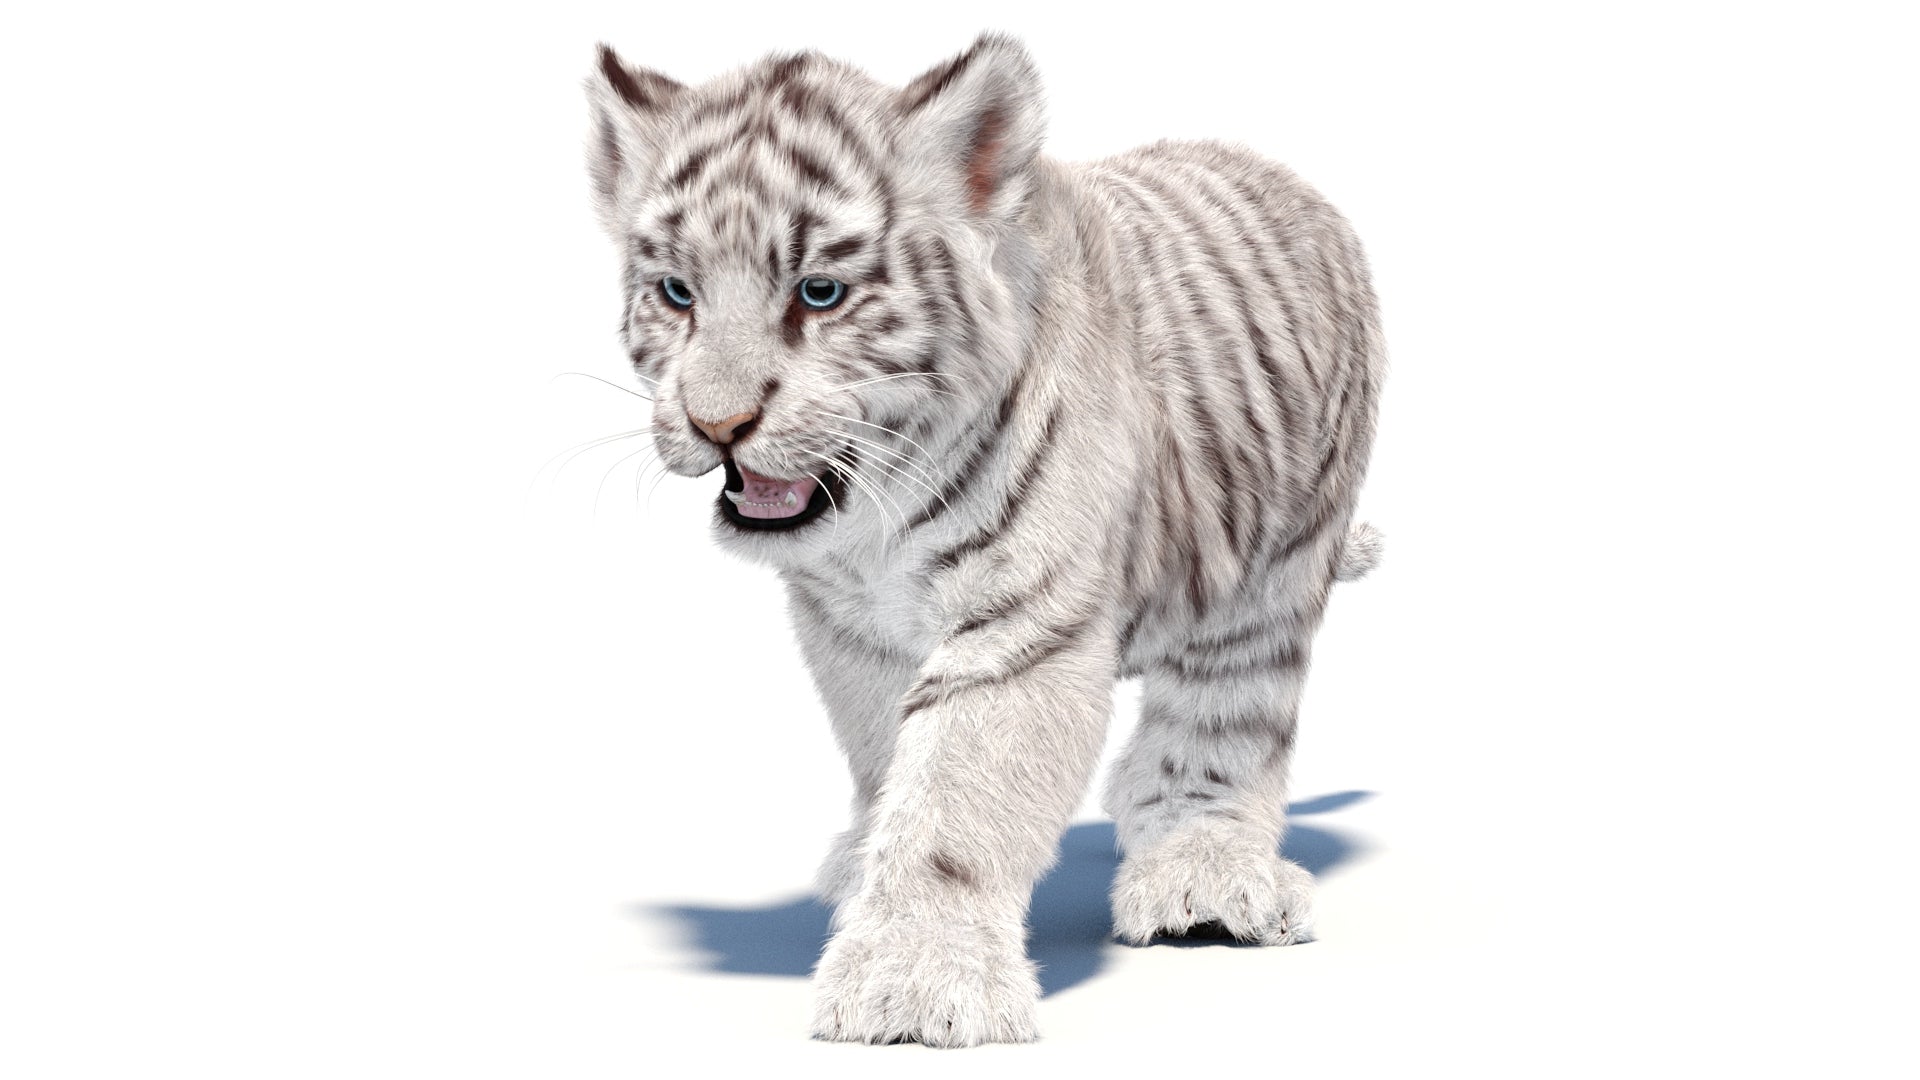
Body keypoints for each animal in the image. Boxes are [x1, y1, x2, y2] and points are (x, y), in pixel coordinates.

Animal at [584, 32, 1386, 1047]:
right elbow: (886, 759)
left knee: (1225, 718)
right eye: (677, 293)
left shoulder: (1021, 628)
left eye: (820, 293)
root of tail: (1279, 174)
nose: (715, 423)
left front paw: (915, 981)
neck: (872, 520)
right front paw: (867, 872)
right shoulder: (848, 629)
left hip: (1272, 570)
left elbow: (956, 800)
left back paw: (1202, 874)